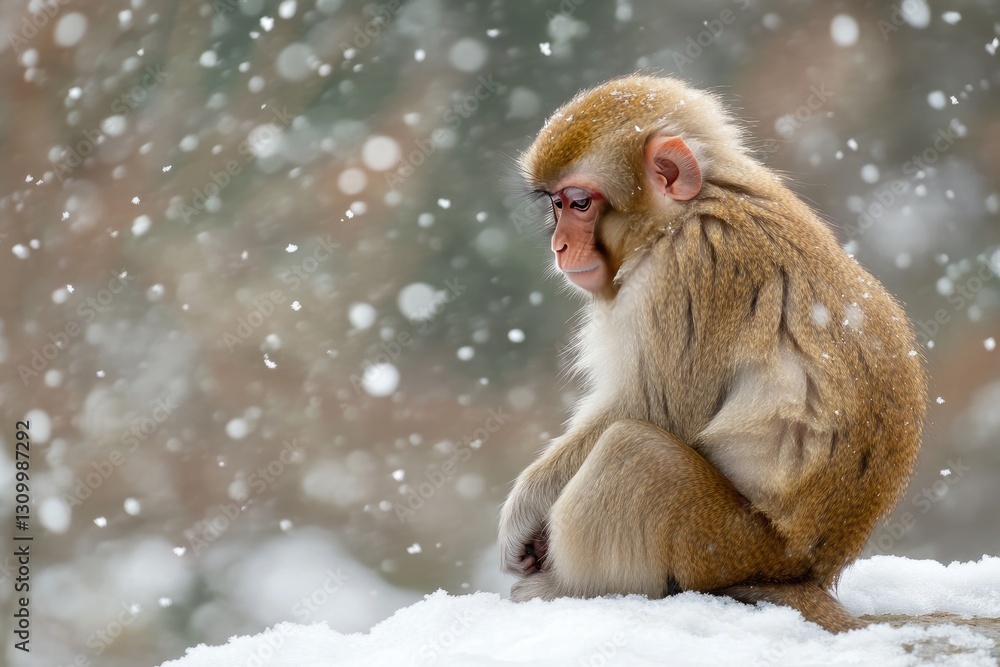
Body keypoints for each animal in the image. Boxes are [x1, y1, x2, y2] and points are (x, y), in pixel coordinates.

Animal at [498, 75, 926, 633]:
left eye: (579, 203)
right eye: (555, 205)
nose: (559, 246)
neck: (688, 210)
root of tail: (807, 570)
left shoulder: (688, 270)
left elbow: (654, 409)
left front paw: (524, 507)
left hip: (721, 545)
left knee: (633, 451)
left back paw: (568, 590)